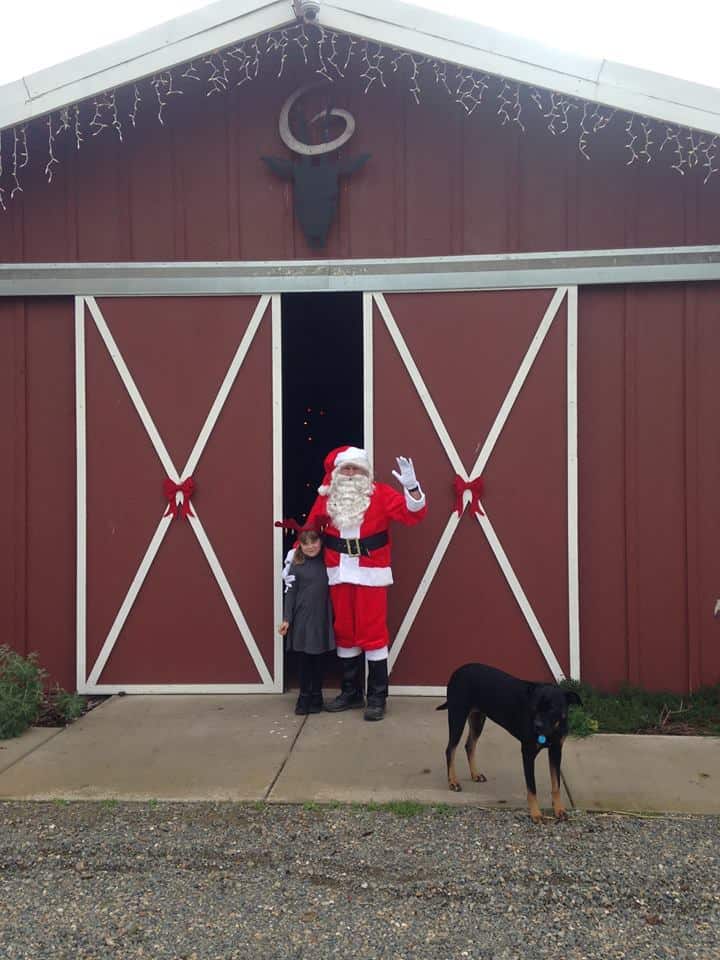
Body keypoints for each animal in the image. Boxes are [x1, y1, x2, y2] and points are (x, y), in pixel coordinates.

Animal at [436, 664, 584, 820]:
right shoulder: (527, 753)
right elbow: (532, 787)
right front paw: (536, 813)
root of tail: (458, 671)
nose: (536, 726)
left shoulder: (556, 750)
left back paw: (475, 774)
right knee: (450, 749)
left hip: (477, 719)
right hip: (457, 716)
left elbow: (556, 785)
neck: (553, 728)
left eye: (552, 708)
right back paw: (453, 781)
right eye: (534, 707)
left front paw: (559, 809)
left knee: (469, 745)